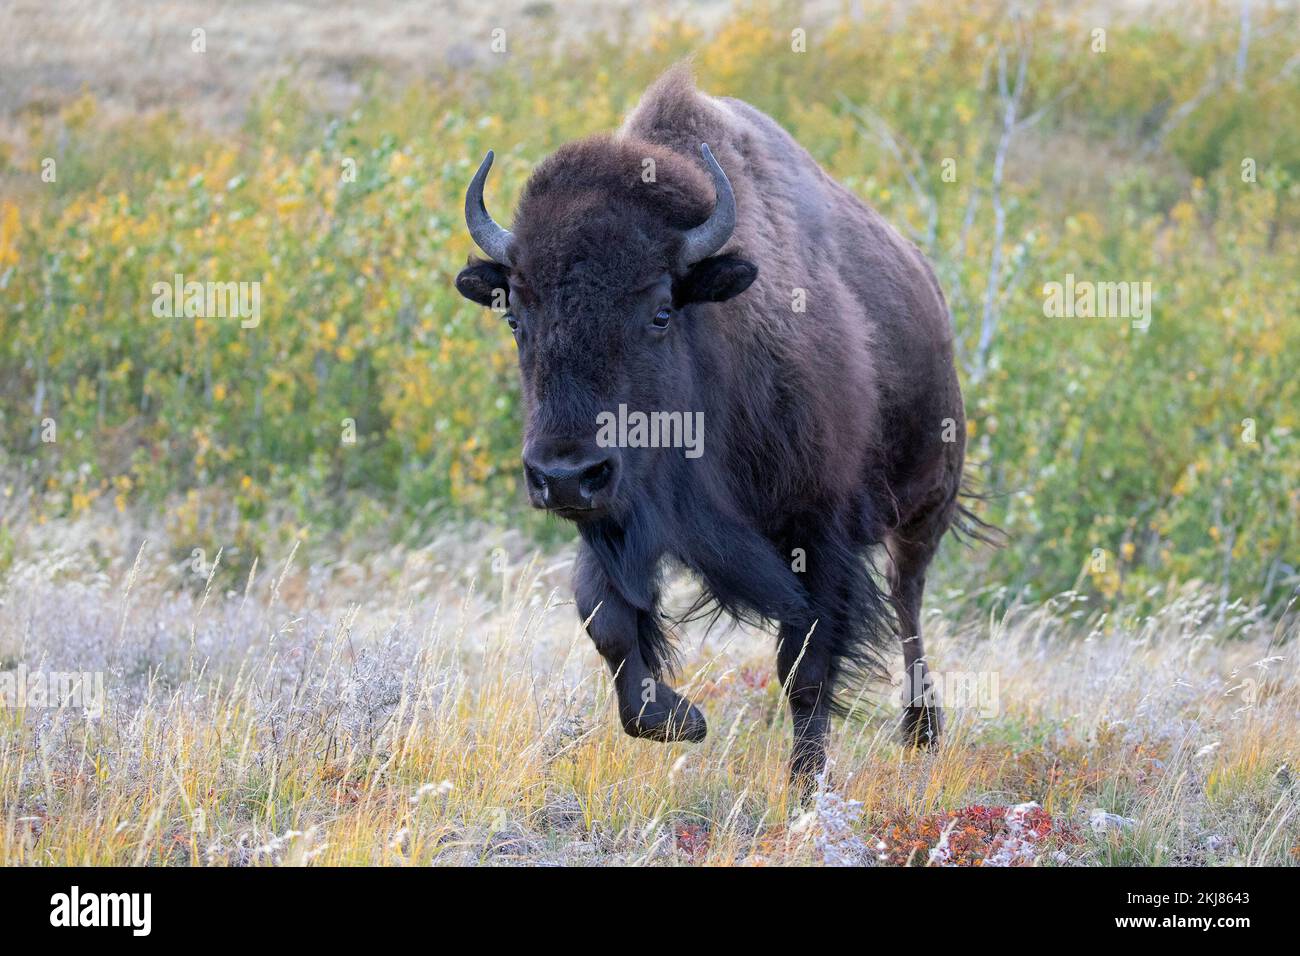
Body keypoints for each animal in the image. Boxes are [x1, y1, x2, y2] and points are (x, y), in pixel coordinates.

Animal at [457, 63, 977, 790]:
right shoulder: (618, 516)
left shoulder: (821, 534)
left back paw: (922, 732)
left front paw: (804, 788)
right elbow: (606, 618)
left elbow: (806, 669)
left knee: (908, 601)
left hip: (924, 505)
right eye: (514, 315)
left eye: (660, 310)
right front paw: (680, 720)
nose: (562, 475)